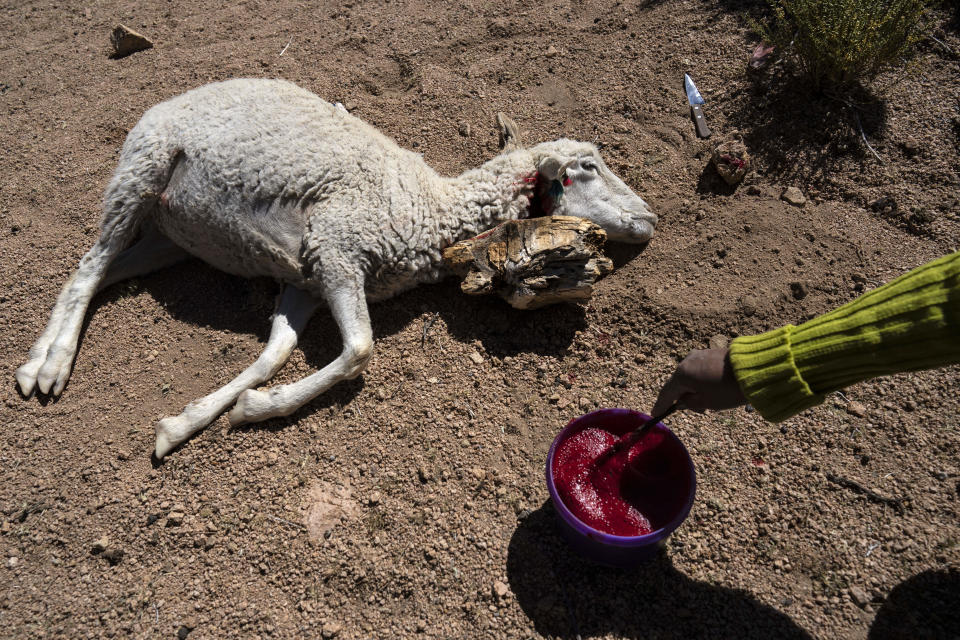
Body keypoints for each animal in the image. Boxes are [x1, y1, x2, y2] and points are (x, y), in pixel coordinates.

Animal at [16, 77, 660, 458]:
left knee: (96, 272)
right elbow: (359, 351)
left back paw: (37, 360)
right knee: (89, 264)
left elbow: (273, 354)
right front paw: (255, 409)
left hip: (174, 235)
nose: (650, 219)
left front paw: (187, 422)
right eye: (587, 167)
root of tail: (173, 97)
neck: (429, 206)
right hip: (142, 168)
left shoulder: (304, 276)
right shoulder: (337, 250)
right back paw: (50, 369)